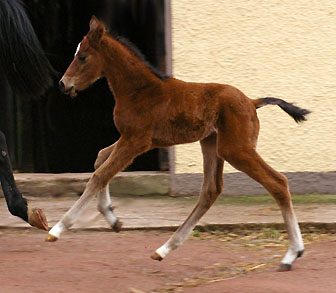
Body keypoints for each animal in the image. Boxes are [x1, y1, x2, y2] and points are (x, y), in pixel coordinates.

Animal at [49, 16, 310, 272]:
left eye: (83, 56)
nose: (63, 84)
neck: (139, 90)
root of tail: (251, 102)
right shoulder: (131, 139)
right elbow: (100, 159)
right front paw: (112, 219)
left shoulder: (136, 141)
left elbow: (100, 174)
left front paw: (57, 229)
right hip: (212, 144)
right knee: (211, 190)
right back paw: (164, 249)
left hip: (235, 149)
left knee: (277, 182)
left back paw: (291, 254)